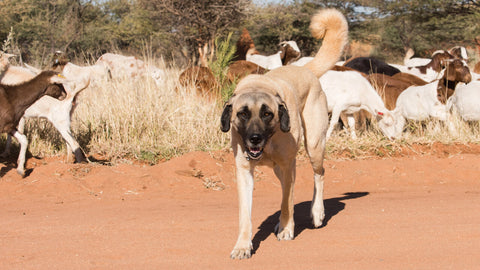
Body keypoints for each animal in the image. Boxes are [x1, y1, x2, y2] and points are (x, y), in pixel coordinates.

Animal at [221, 8, 348, 260]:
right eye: (242, 114)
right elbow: (245, 216)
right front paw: (242, 245)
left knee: (319, 175)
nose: (255, 139)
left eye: (267, 114)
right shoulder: (244, 172)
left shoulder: (289, 165)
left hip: (314, 147)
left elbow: (287, 203)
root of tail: (303, 68)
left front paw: (287, 229)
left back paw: (316, 212)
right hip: (281, 168)